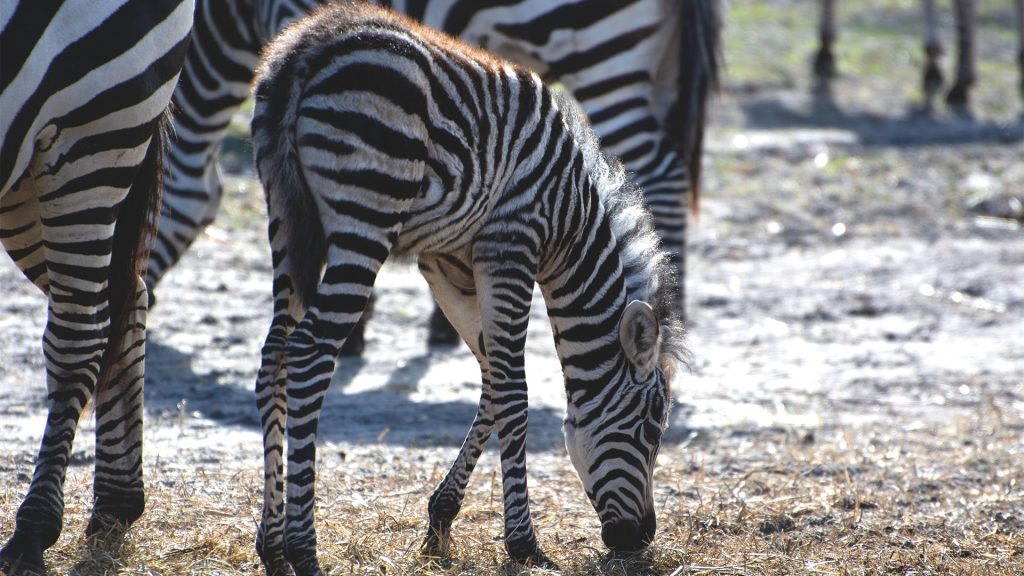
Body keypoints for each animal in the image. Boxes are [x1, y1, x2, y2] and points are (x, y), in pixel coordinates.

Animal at [0, 1, 192, 572]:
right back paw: (116, 503)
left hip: (89, 134)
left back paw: (33, 531)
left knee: (78, 335)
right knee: (128, 296)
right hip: (25, 179)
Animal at [151, 0, 720, 351]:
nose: (139, 301)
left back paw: (671, 309)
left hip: (603, 51)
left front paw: (359, 331)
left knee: (661, 170)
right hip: (654, 65)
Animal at [251, 3, 687, 573]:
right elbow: (514, 393)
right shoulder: (510, 246)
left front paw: (440, 522)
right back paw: (304, 549)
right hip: (364, 216)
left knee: (273, 358)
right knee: (309, 352)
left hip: (287, 218)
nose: (640, 539)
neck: (571, 222)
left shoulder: (447, 264)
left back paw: (273, 546)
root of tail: (309, 46)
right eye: (652, 429)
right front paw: (524, 544)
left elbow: (491, 383)